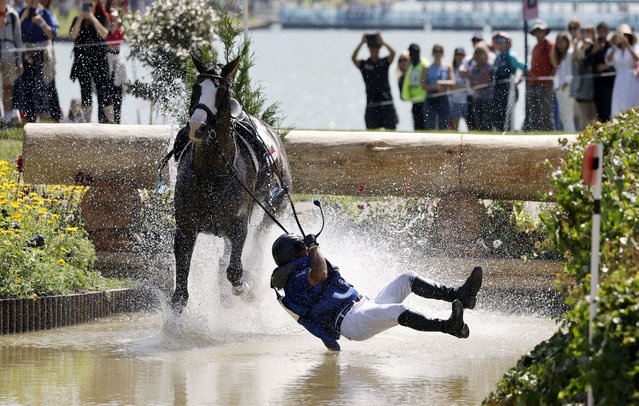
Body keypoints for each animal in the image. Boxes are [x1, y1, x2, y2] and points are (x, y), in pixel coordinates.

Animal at [169, 54, 292, 310]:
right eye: (196, 88)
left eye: (221, 92)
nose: (197, 126)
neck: (211, 174)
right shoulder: (185, 228)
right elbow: (180, 293)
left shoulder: (238, 226)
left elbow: (234, 270)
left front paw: (242, 285)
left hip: (276, 204)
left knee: (259, 239)